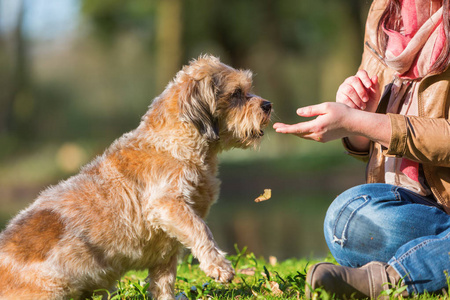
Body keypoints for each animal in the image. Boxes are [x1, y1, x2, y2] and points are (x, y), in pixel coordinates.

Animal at [0, 55, 270, 298]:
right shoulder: (168, 204)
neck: (175, 144)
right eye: (236, 93)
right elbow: (200, 229)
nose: (267, 104)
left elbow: (163, 283)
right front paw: (219, 266)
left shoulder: (167, 252)